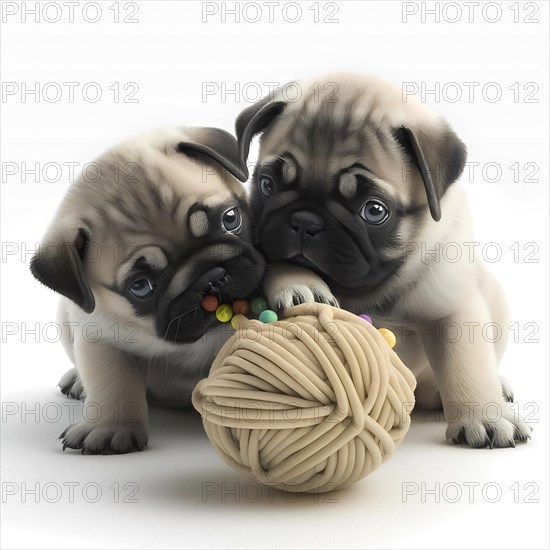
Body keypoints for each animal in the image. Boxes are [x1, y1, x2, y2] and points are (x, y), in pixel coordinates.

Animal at [31, 127, 266, 454]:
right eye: (141, 287)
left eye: (230, 219)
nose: (211, 278)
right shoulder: (98, 337)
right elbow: (112, 381)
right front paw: (110, 428)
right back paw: (77, 380)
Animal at [235, 73, 532, 450]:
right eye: (268, 185)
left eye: (374, 211)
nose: (305, 221)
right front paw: (300, 281)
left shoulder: (453, 309)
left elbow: (467, 364)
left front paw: (486, 417)